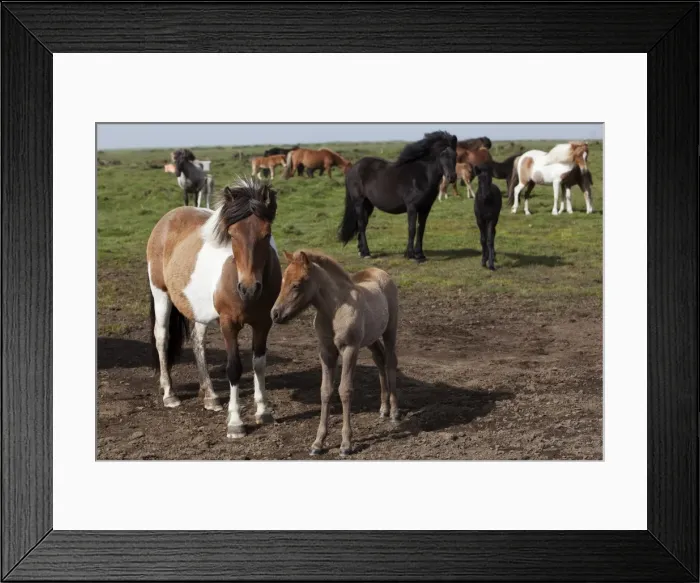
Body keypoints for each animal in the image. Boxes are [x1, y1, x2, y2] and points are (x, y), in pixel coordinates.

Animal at [146, 176, 282, 439]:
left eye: (266, 233)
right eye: (232, 234)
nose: (249, 288)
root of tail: (168, 218)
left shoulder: (263, 323)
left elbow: (259, 364)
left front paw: (263, 412)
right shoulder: (229, 324)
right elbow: (234, 368)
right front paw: (236, 423)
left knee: (198, 343)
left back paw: (210, 396)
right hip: (160, 293)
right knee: (162, 337)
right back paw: (169, 394)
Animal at [270, 250, 399, 457]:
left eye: (296, 284)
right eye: (282, 281)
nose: (275, 314)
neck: (334, 309)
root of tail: (379, 271)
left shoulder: (349, 349)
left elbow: (345, 390)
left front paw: (346, 444)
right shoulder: (326, 352)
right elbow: (325, 391)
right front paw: (317, 443)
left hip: (390, 331)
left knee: (390, 362)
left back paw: (394, 412)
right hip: (371, 338)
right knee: (379, 359)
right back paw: (383, 408)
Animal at [338, 130, 458, 262]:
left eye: (455, 155)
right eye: (442, 155)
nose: (452, 177)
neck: (421, 176)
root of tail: (353, 168)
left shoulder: (425, 208)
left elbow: (421, 229)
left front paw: (420, 255)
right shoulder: (412, 207)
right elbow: (412, 229)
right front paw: (411, 255)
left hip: (368, 205)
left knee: (363, 224)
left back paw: (362, 251)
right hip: (359, 202)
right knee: (360, 224)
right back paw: (366, 253)